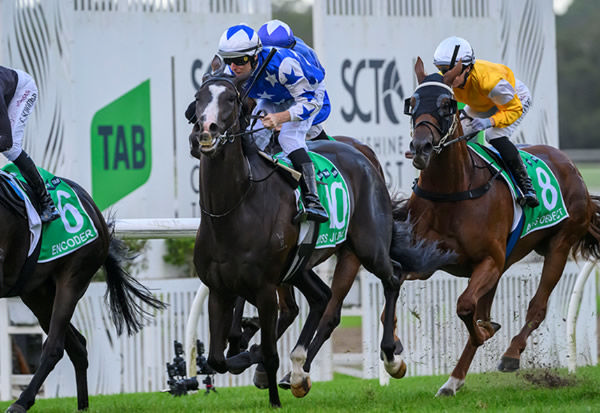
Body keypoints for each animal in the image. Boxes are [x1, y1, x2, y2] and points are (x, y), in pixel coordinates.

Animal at [0, 175, 164, 410]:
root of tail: (94, 210)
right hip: (37, 293)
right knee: (78, 346)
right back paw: (82, 405)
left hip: (73, 278)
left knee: (55, 347)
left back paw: (21, 402)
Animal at [190, 61, 452, 406]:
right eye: (199, 96)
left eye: (231, 99)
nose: (205, 131)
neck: (233, 209)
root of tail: (365, 158)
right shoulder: (219, 288)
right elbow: (218, 359)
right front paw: (246, 350)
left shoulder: (264, 287)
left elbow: (268, 351)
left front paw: (269, 386)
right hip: (301, 266)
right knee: (321, 299)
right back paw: (297, 367)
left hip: (366, 247)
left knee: (390, 277)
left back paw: (389, 356)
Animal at [400, 56, 600, 394]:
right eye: (411, 103)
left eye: (447, 105)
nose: (422, 147)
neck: (453, 190)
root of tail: (574, 170)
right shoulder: (424, 260)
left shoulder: (489, 261)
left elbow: (465, 306)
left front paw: (487, 332)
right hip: (505, 262)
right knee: (485, 310)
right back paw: (453, 381)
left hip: (558, 245)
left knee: (536, 307)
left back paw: (510, 354)